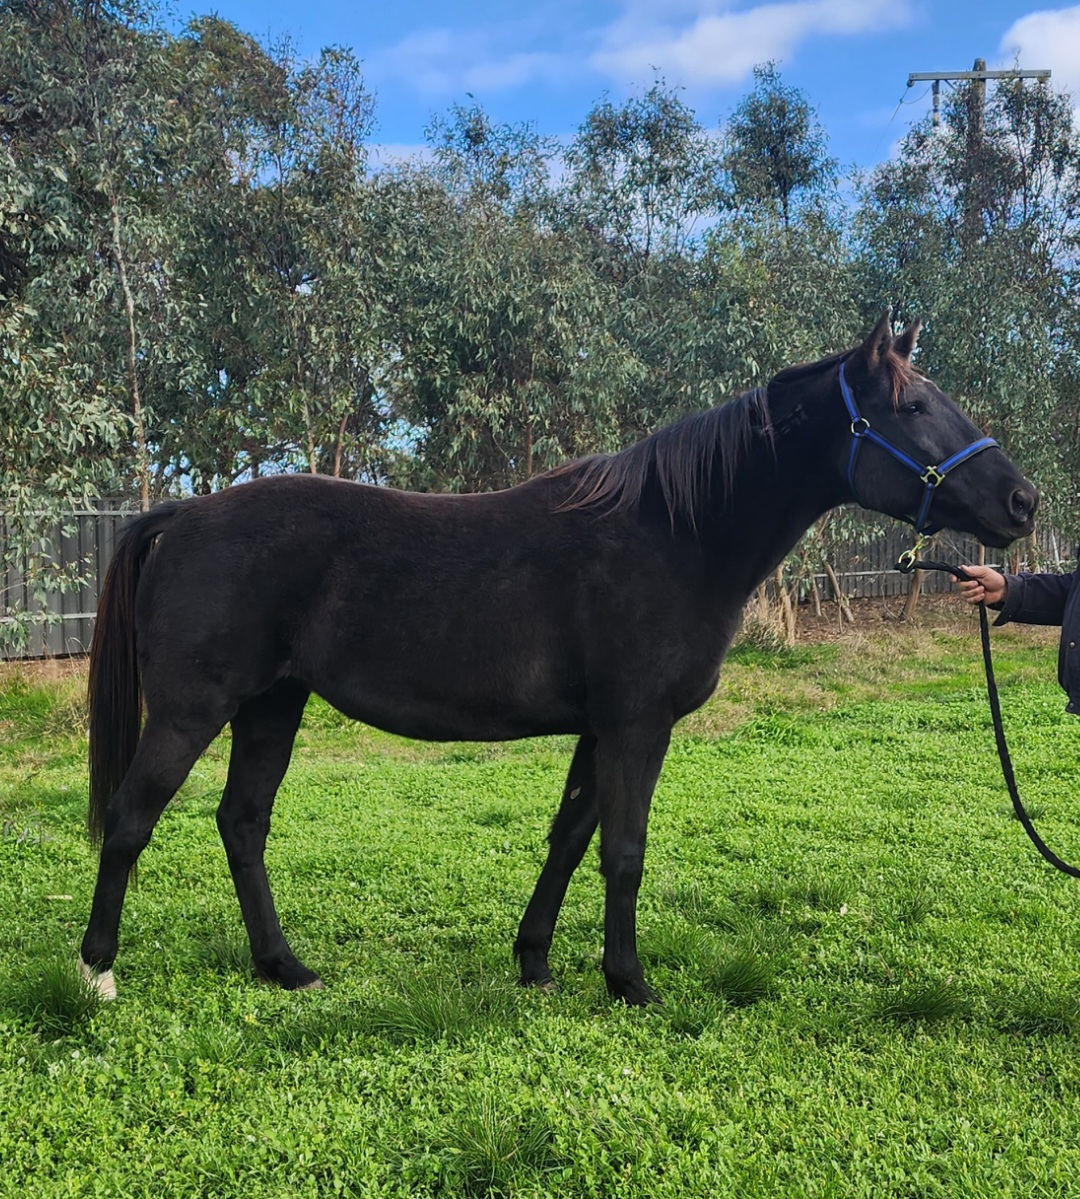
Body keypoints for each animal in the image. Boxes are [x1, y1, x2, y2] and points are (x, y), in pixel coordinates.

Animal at [78, 313, 1037, 1005]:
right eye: (911, 409)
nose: (1022, 501)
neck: (677, 533)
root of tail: (183, 515)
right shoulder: (637, 725)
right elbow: (625, 849)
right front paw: (629, 981)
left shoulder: (598, 729)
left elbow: (571, 838)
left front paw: (535, 960)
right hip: (192, 710)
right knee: (130, 821)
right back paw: (97, 973)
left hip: (272, 705)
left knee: (242, 823)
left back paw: (283, 965)